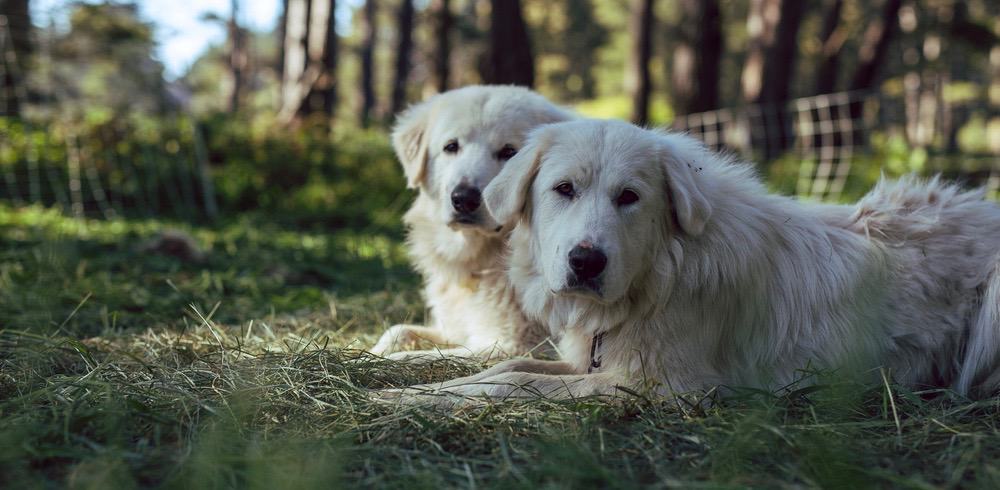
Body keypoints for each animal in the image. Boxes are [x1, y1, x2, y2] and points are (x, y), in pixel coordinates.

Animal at [368, 85, 576, 360]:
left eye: (509, 152)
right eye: (451, 147)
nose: (464, 198)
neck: (480, 263)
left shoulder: (511, 346)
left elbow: (418, 356)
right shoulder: (453, 330)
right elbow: (397, 330)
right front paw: (369, 351)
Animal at [378, 117, 1000, 402]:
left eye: (629, 197)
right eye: (563, 190)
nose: (586, 262)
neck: (659, 275)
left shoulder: (661, 386)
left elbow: (514, 385)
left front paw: (406, 400)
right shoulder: (594, 362)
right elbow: (502, 369)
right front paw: (407, 392)